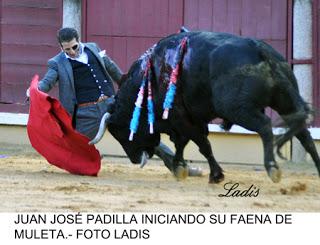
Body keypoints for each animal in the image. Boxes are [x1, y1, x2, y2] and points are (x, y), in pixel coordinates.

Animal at [90, 31, 320, 184]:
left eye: (121, 132)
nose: (135, 158)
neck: (150, 77)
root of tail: (259, 49)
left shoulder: (181, 117)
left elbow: (201, 143)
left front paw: (215, 174)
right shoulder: (187, 118)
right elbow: (183, 143)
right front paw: (180, 167)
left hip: (238, 109)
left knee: (265, 127)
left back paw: (272, 168)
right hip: (285, 103)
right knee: (304, 134)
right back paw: (318, 168)